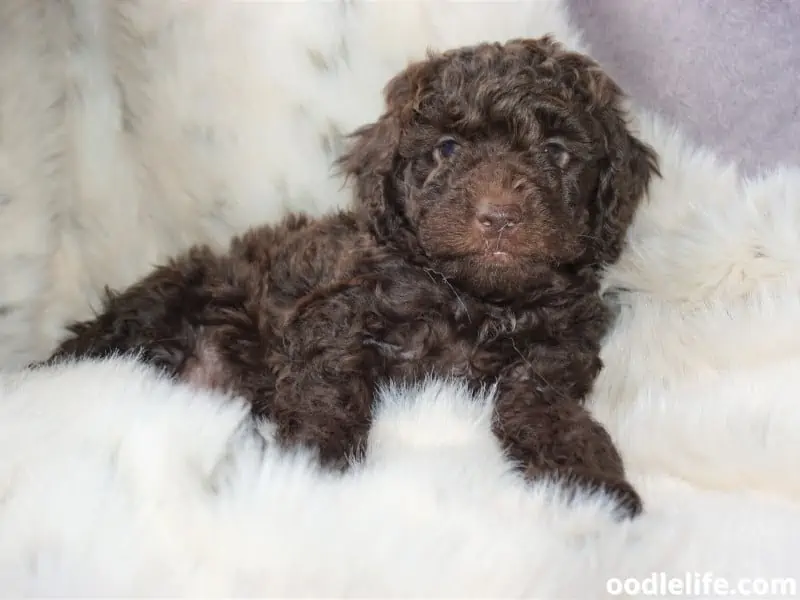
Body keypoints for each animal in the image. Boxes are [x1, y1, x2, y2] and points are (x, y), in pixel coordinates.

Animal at [47, 35, 656, 516]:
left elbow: (551, 412)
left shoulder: (552, 356)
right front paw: (310, 464)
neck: (476, 301)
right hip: (165, 305)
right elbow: (329, 386)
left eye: (556, 152)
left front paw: (591, 487)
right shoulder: (338, 315)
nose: (499, 215)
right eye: (448, 148)